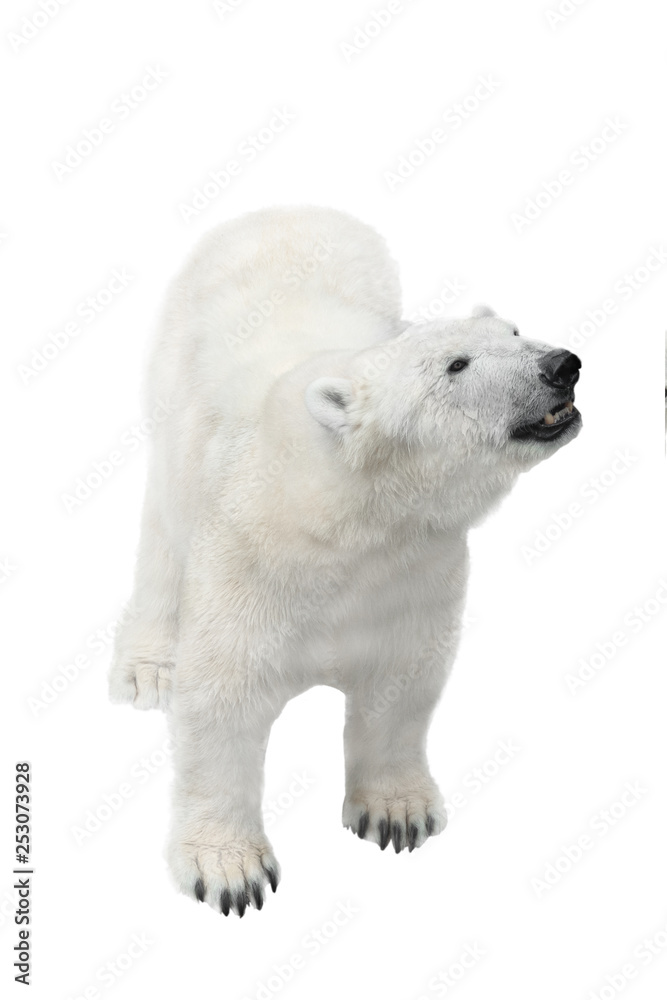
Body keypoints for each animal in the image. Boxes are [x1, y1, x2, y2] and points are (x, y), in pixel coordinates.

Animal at [109, 206, 582, 916]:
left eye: (515, 330)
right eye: (456, 364)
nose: (562, 363)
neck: (349, 518)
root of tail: (284, 210)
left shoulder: (416, 568)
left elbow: (403, 681)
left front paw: (397, 813)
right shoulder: (249, 558)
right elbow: (222, 697)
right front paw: (230, 870)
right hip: (176, 379)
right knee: (163, 528)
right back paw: (146, 669)